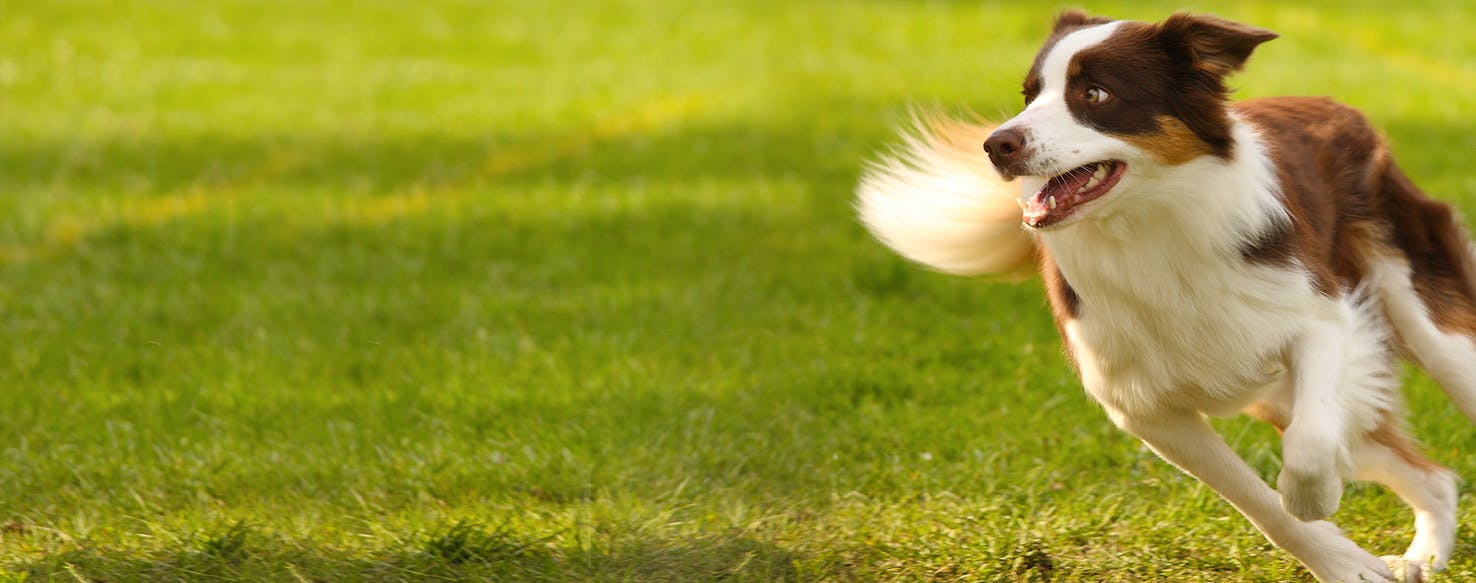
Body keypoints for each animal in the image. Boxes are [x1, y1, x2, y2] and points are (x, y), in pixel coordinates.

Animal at [856, 10, 1476, 583]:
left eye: (1094, 94)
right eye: (1029, 95)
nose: (995, 144)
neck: (1149, 227)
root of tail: (1338, 108)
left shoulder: (1322, 318)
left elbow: (1311, 442)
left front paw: (1315, 497)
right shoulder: (1143, 407)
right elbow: (1259, 502)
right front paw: (1345, 563)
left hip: (1424, 321)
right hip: (1280, 394)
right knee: (1435, 478)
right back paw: (1420, 558)